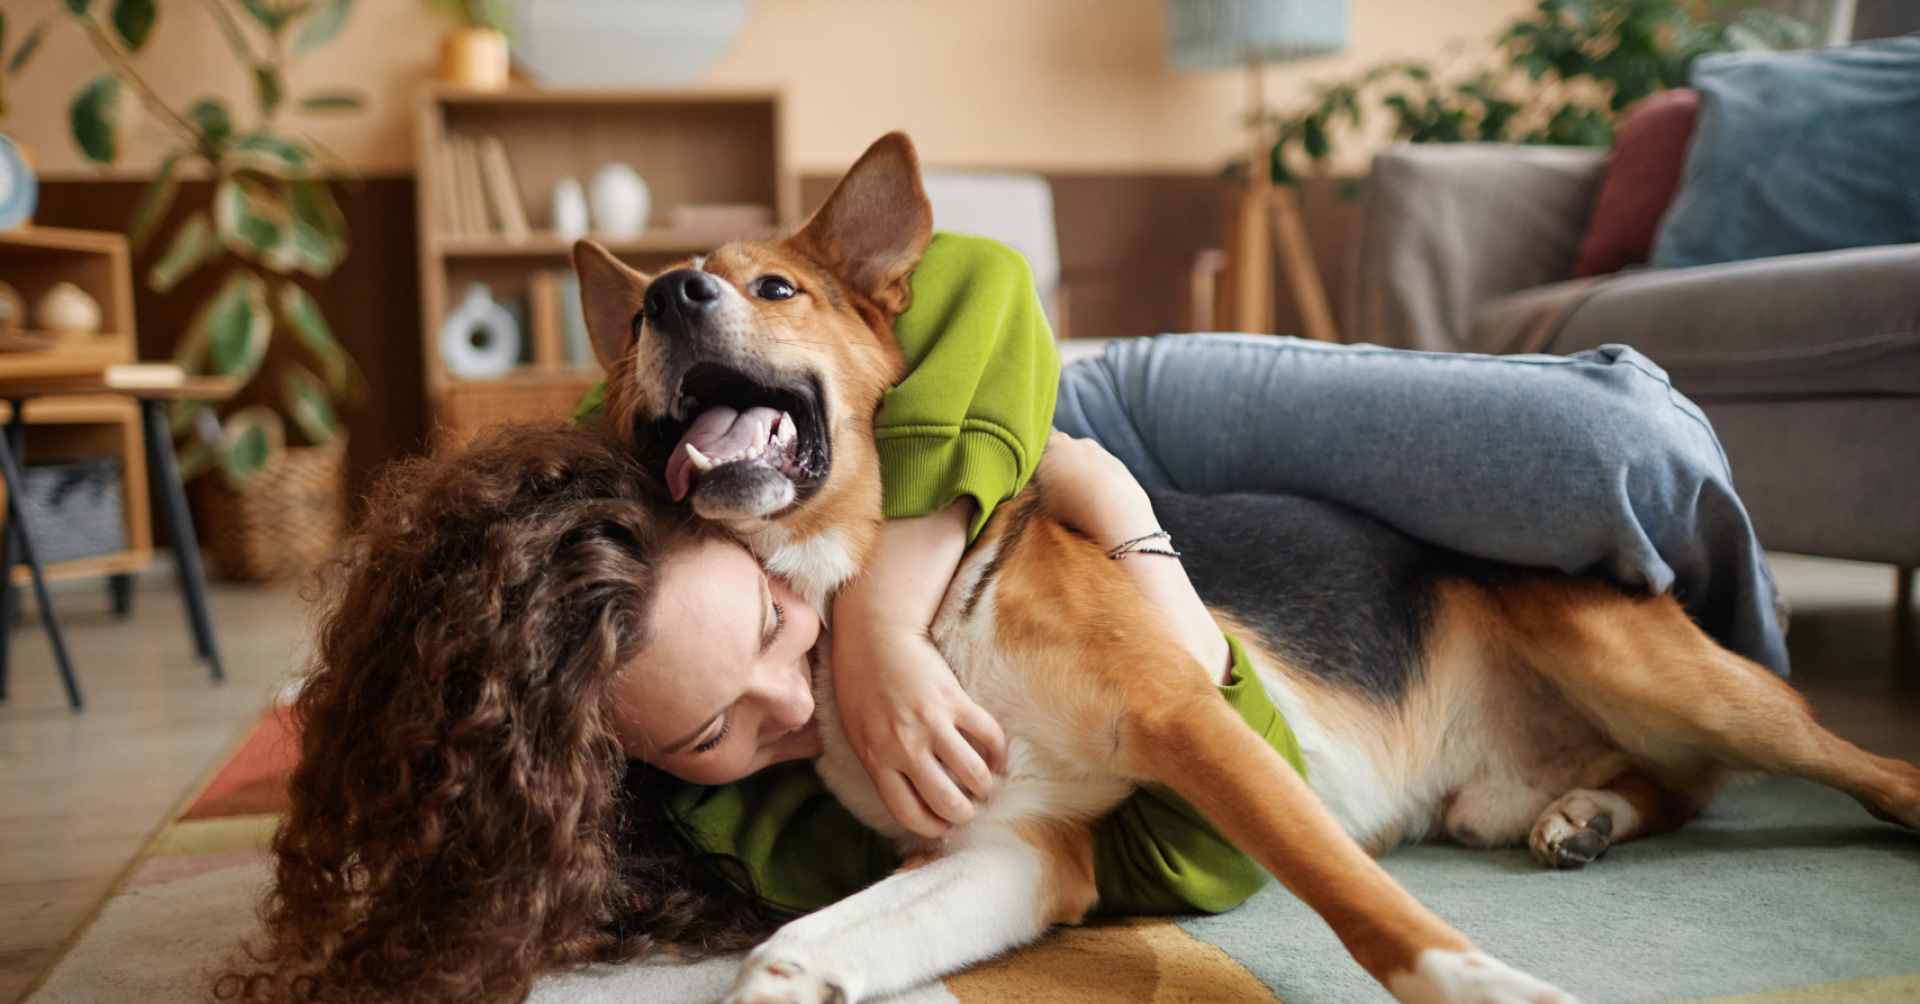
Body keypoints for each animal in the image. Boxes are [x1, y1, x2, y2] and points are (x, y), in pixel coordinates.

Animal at [572, 133, 1920, 1004]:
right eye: (639, 324)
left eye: (774, 285)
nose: (674, 294)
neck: (889, 607)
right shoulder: (1010, 848)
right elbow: (791, 945)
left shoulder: (1192, 719)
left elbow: (1362, 903)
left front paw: (1487, 985)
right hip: (1524, 777)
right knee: (1674, 787)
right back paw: (1587, 814)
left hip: (1664, 672)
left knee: (1847, 765)